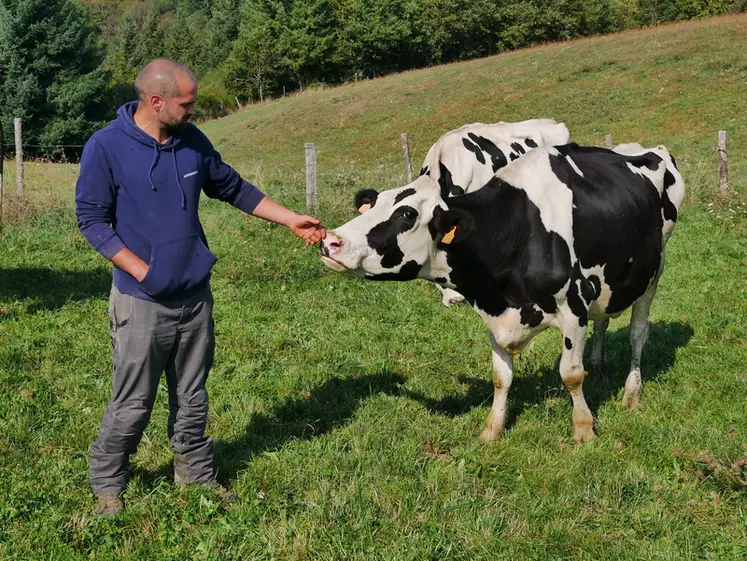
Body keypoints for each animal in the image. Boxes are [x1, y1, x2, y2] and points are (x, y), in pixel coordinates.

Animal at [322, 142, 684, 444]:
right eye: (372, 205)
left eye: (407, 214)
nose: (330, 240)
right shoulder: (493, 312)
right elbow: (501, 377)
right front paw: (491, 430)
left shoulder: (573, 307)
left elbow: (570, 374)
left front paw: (583, 429)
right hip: (606, 282)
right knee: (604, 320)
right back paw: (598, 364)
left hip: (654, 272)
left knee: (638, 332)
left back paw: (631, 392)